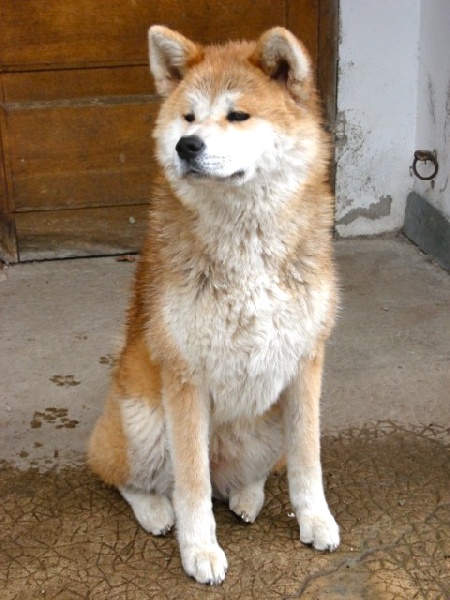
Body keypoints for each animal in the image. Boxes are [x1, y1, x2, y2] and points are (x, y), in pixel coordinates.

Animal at [88, 25, 340, 584]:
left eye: (238, 115)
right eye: (188, 117)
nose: (187, 145)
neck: (248, 245)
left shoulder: (306, 365)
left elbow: (307, 462)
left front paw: (315, 519)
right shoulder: (186, 378)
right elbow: (193, 487)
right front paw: (200, 549)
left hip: (264, 426)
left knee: (248, 477)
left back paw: (247, 495)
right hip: (145, 424)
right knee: (131, 478)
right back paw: (157, 511)